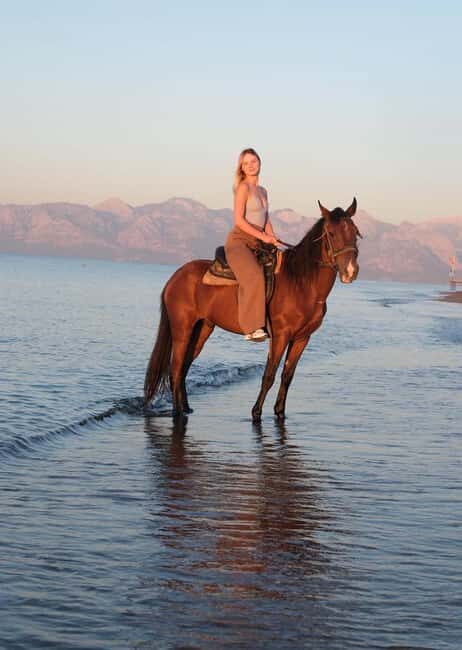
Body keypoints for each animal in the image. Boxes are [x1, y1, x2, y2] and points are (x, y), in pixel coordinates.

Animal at [144, 198, 361, 421]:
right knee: (176, 369)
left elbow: (287, 376)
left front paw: (279, 412)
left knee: (184, 368)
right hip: (182, 329)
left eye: (355, 232)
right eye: (332, 233)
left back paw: (186, 408)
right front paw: (256, 412)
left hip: (202, 329)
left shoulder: (302, 338)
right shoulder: (281, 336)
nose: (350, 271)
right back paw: (178, 412)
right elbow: (269, 375)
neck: (301, 284)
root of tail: (175, 277)